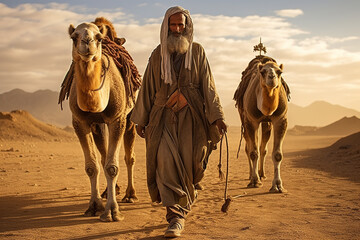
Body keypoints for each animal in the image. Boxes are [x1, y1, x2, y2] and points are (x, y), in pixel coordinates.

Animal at [60, 18, 139, 221]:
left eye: (99, 37)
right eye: (74, 37)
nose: (87, 42)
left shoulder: (117, 119)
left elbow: (112, 167)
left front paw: (112, 211)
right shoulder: (80, 122)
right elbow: (92, 166)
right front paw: (94, 206)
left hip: (130, 118)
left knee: (129, 157)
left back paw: (130, 195)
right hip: (97, 125)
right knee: (103, 157)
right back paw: (108, 192)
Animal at [233, 56, 290, 193]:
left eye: (279, 72)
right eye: (263, 72)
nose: (272, 77)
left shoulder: (281, 119)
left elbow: (277, 154)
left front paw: (277, 185)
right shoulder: (251, 121)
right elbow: (253, 152)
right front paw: (254, 181)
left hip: (266, 123)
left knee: (263, 147)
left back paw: (262, 174)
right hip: (244, 119)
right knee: (248, 148)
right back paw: (252, 175)